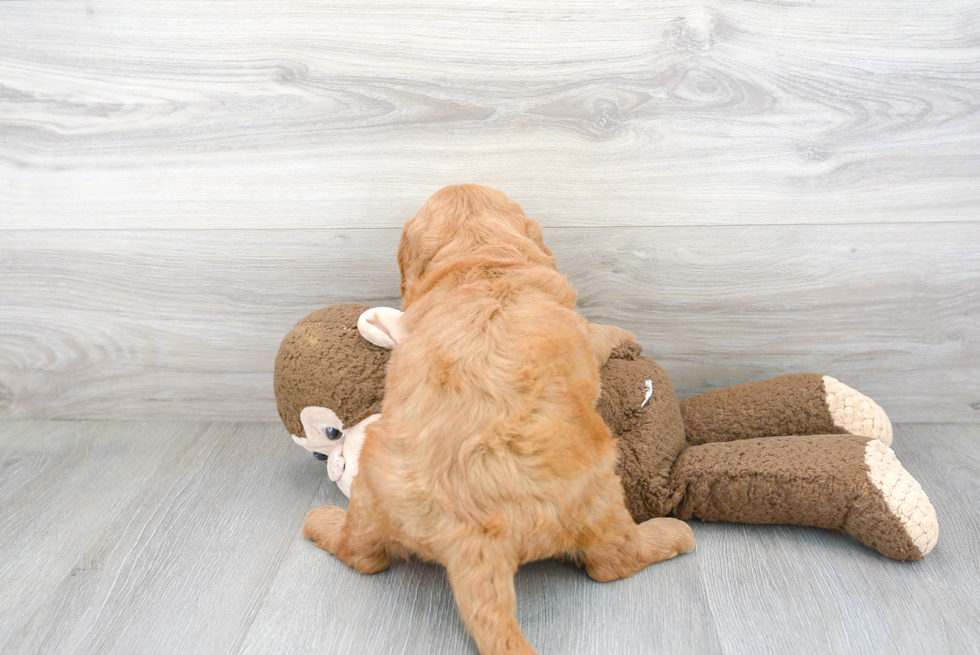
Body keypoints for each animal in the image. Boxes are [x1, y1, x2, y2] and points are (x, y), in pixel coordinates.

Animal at [302, 184, 692, 655]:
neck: (481, 258)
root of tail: (473, 535)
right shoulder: (579, 327)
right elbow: (600, 333)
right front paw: (626, 337)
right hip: (602, 495)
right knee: (614, 562)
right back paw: (671, 533)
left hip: (371, 492)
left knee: (366, 555)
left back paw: (320, 520)